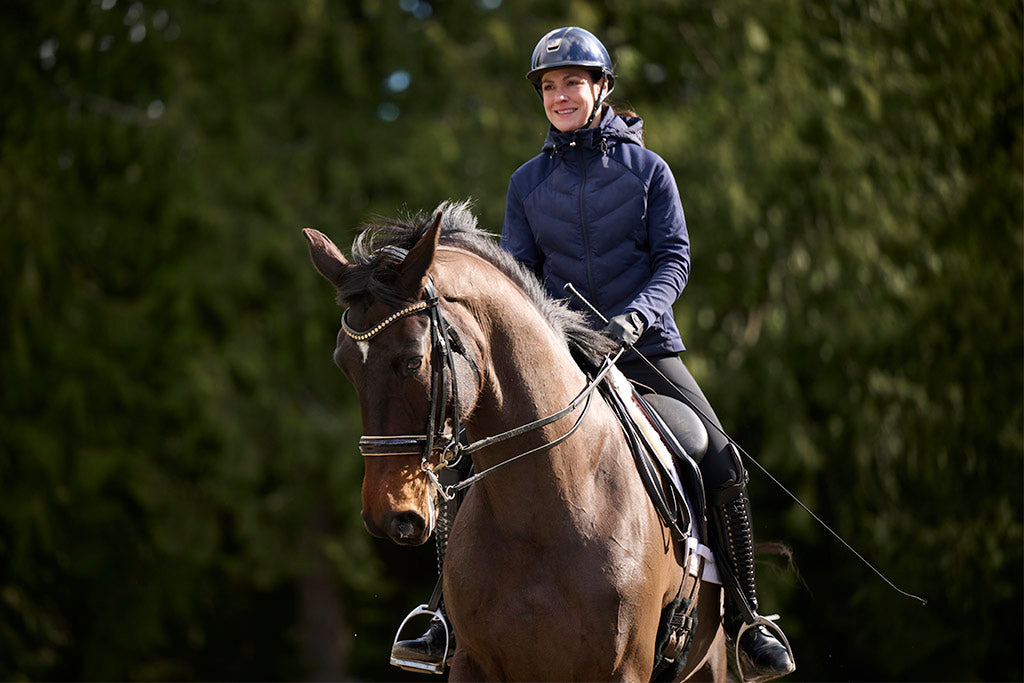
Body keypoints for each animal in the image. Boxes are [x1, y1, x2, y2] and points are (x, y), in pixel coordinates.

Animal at [304, 201, 726, 682]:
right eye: (344, 365)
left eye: (412, 360)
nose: (388, 513)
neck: (543, 512)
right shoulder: (472, 663)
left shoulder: (624, 669)